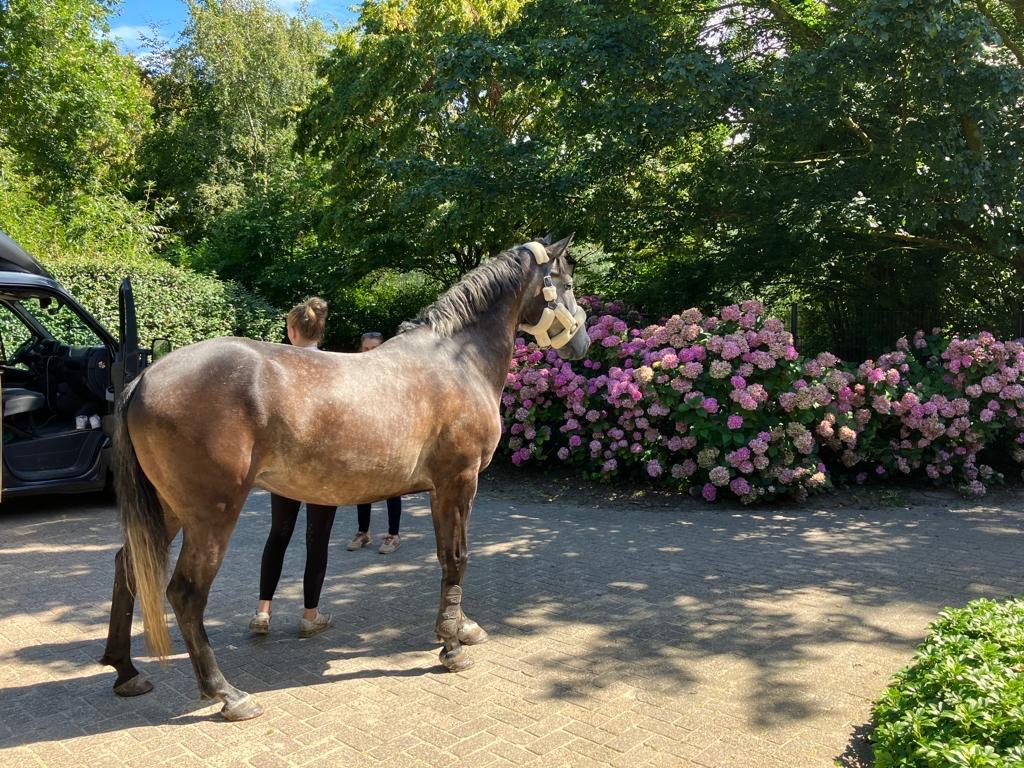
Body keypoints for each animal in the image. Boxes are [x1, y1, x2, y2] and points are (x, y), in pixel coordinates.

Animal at [99, 236, 590, 721]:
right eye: (566, 283)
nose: (583, 344)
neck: (457, 360)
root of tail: (144, 379)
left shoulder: (443, 491)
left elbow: (447, 557)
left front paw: (460, 627)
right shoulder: (458, 483)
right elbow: (456, 558)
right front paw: (451, 647)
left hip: (167, 509)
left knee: (127, 567)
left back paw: (126, 671)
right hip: (210, 515)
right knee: (185, 593)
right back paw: (226, 694)